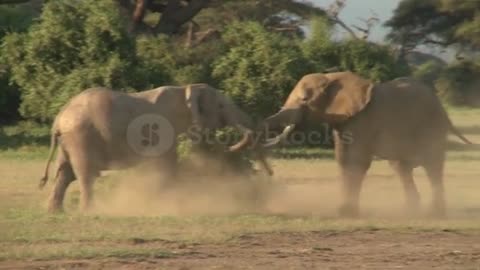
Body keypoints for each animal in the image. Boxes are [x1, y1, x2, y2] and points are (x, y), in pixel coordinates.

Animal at [39, 84, 272, 213]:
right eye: (222, 106)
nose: (270, 174)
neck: (187, 89)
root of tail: (58, 118)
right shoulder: (164, 130)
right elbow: (166, 166)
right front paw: (169, 205)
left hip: (69, 141)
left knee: (65, 173)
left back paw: (55, 213)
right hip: (81, 138)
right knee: (85, 174)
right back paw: (89, 211)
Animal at [262, 71, 472, 217]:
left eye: (305, 98)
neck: (332, 77)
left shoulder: (363, 119)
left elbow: (357, 162)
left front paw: (347, 213)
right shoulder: (344, 121)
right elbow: (343, 159)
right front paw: (345, 212)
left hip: (432, 126)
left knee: (432, 166)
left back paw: (434, 213)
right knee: (402, 167)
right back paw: (411, 211)